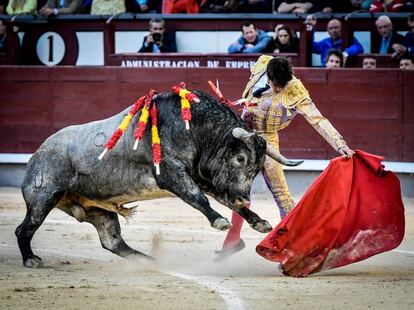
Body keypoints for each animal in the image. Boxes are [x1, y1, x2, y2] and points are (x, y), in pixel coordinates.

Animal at [16, 89, 300, 266]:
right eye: (240, 159)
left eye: (259, 166)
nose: (244, 196)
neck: (196, 129)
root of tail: (36, 155)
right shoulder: (171, 175)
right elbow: (197, 198)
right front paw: (220, 221)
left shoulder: (204, 178)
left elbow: (223, 200)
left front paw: (260, 222)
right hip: (44, 197)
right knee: (25, 227)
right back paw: (31, 259)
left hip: (99, 210)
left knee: (112, 241)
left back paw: (147, 261)